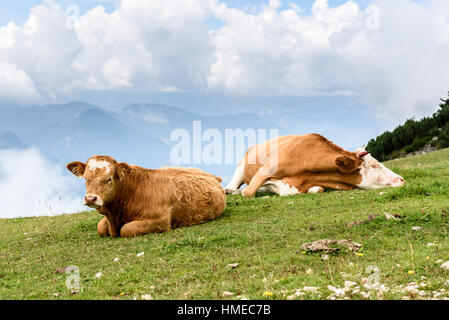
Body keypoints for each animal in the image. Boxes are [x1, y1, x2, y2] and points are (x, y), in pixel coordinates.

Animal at [66, 155, 226, 238]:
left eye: (109, 178)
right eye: (86, 178)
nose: (90, 199)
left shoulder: (161, 220)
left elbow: (126, 229)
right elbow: (100, 227)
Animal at [224, 133, 402, 198]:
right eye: (374, 166)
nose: (401, 179)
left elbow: (318, 189)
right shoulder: (264, 171)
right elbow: (248, 192)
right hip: (241, 167)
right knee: (234, 185)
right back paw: (229, 191)